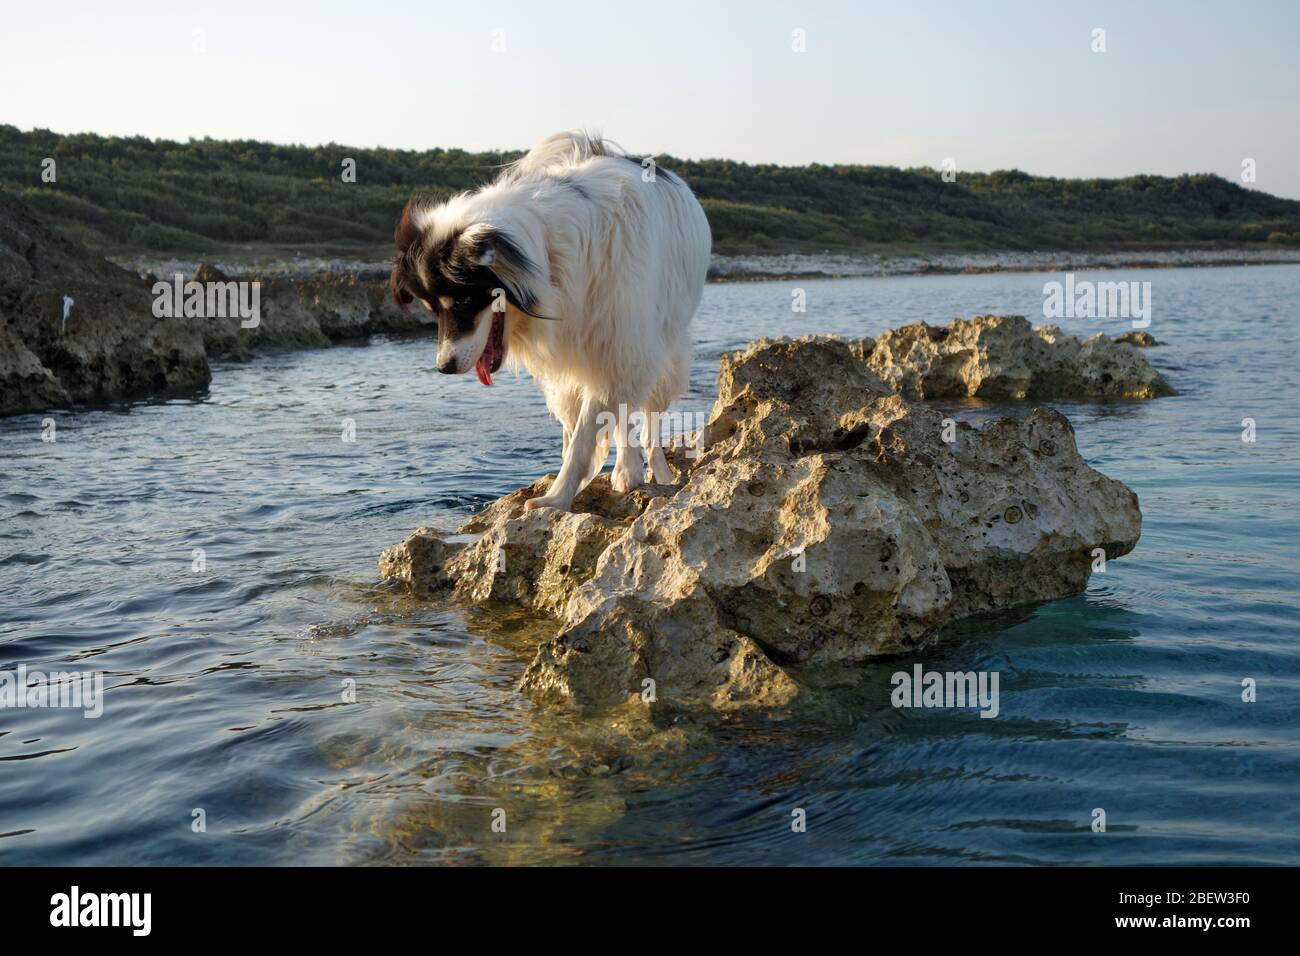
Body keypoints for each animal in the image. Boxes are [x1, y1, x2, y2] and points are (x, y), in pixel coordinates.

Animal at [390, 132, 712, 515]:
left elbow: (591, 431)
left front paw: (557, 497)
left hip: (660, 346)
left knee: (647, 414)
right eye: (432, 310)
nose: (444, 367)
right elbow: (582, 430)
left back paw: (652, 471)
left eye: (465, 302)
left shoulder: (622, 341)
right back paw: (627, 470)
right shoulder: (585, 361)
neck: (547, 252)